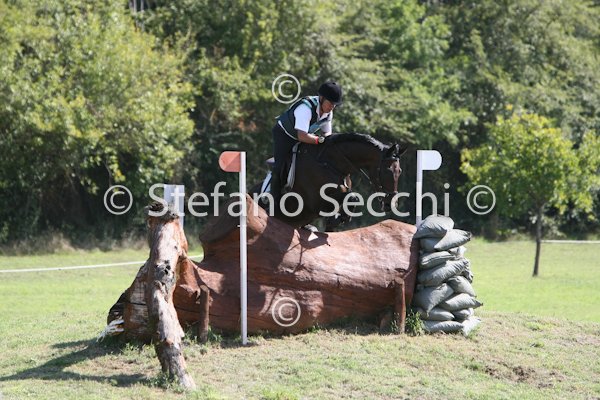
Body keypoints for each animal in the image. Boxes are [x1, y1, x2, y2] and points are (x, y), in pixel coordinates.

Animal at [254, 133, 408, 230]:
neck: (332, 165)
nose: (391, 204)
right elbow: (350, 198)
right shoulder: (315, 203)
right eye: (387, 171)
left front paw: (341, 218)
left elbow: (351, 198)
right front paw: (338, 219)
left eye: (399, 171)